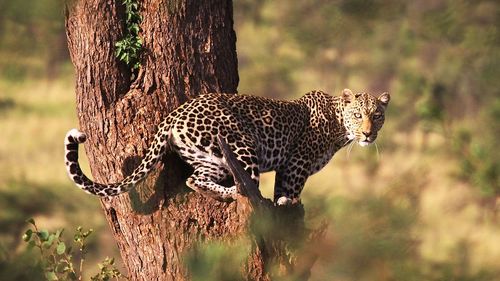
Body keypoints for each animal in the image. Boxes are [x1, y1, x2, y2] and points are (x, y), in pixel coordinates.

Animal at [63, 88, 390, 205]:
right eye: (358, 115)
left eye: (377, 116)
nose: (368, 134)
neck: (338, 127)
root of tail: (173, 115)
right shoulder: (296, 163)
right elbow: (288, 189)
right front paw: (287, 203)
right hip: (241, 144)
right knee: (246, 182)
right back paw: (240, 193)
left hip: (207, 157)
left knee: (194, 179)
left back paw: (225, 193)